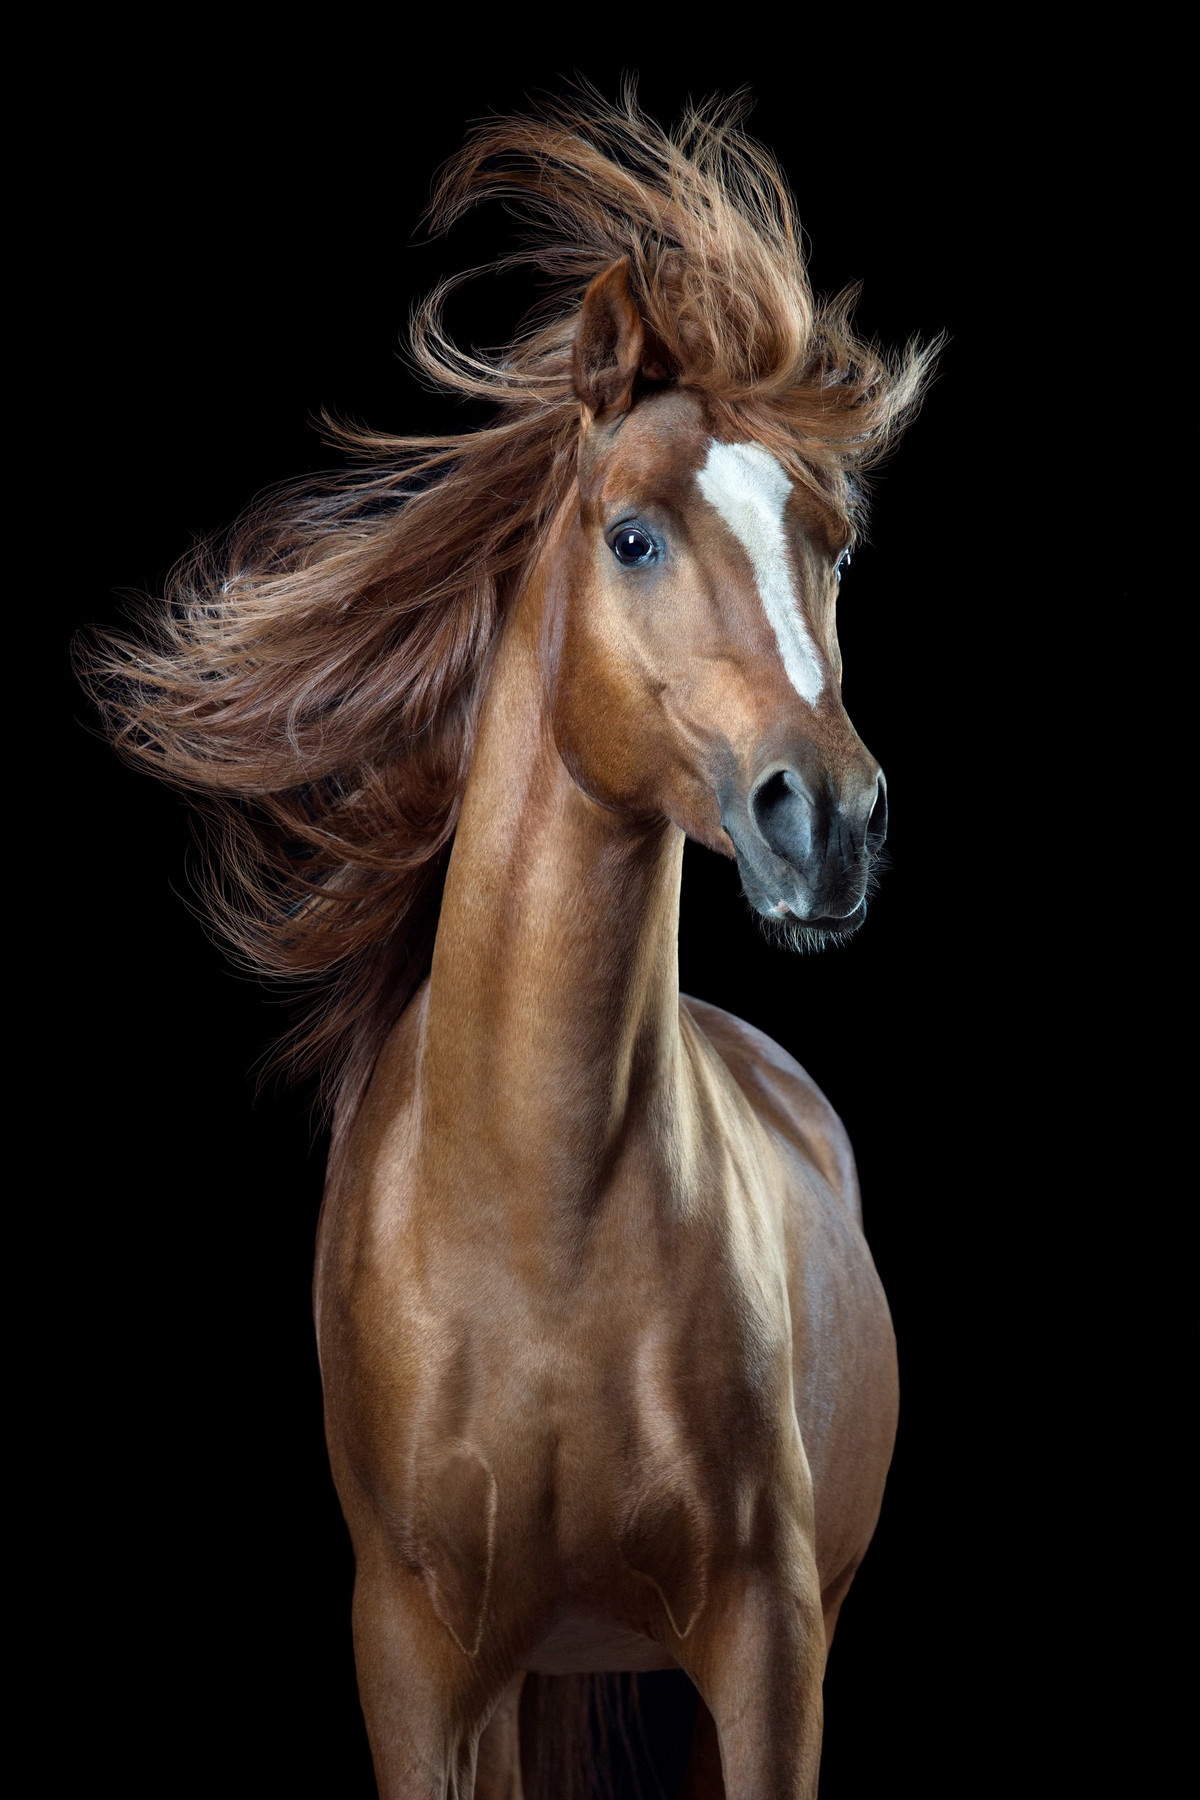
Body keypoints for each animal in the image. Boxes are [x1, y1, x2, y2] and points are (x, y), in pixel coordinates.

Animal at [84, 94, 942, 1800]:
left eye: (832, 544)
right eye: (632, 537)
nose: (828, 820)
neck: (538, 1227)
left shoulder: (770, 1646)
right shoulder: (414, 1662)